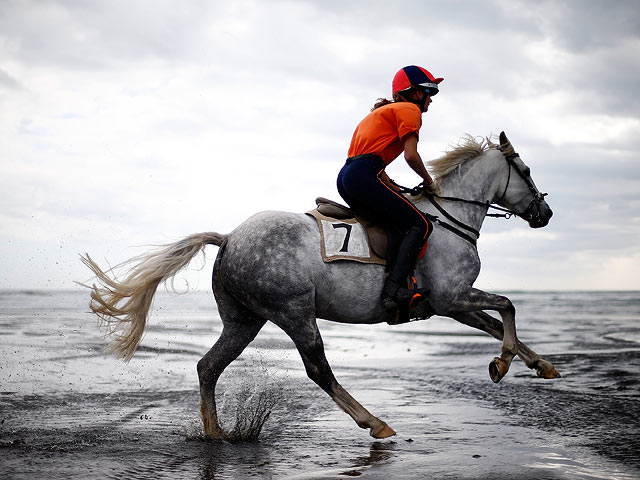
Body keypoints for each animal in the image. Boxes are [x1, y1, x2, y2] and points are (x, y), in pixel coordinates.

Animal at [81, 130, 560, 438]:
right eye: (527, 169)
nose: (545, 214)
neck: (449, 218)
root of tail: (231, 237)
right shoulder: (451, 297)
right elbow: (508, 306)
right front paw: (503, 364)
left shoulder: (452, 303)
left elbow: (497, 323)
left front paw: (536, 364)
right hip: (294, 312)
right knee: (318, 370)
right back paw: (374, 423)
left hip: (244, 320)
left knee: (208, 367)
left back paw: (215, 433)